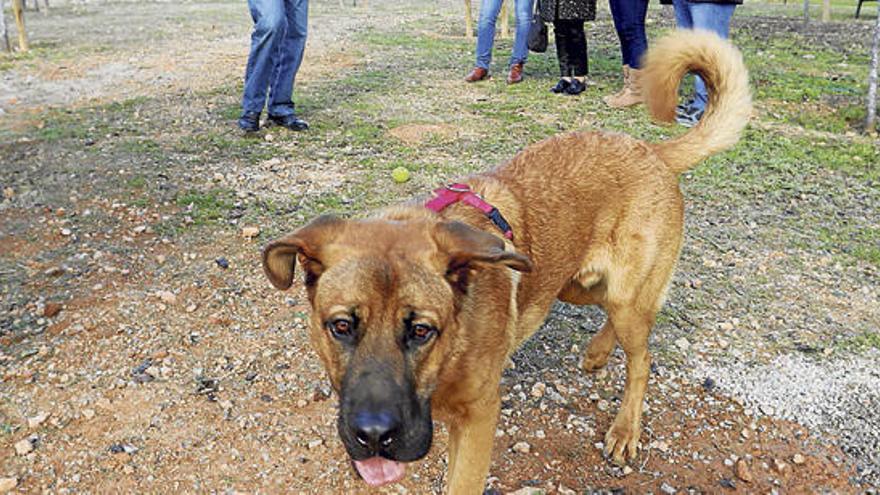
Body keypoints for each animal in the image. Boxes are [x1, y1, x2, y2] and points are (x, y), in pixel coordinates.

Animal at [262, 30, 748, 492]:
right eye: (341, 326)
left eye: (422, 331)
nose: (374, 436)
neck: (452, 347)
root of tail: (652, 150)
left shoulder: (478, 417)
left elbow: (462, 482)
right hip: (571, 285)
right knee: (617, 316)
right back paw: (596, 352)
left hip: (623, 298)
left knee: (641, 357)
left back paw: (625, 428)